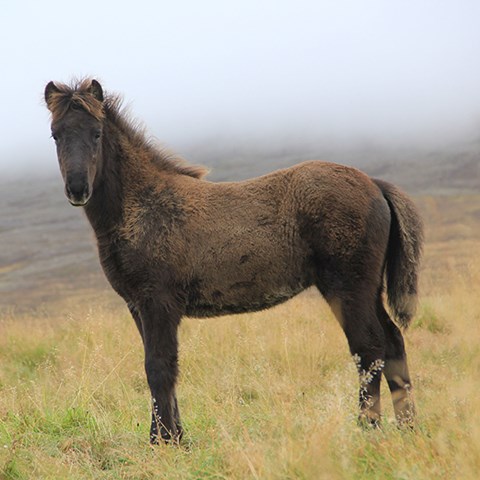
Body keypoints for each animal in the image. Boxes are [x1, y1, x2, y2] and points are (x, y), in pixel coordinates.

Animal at [43, 78, 422, 442]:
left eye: (96, 132)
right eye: (55, 134)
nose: (77, 188)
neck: (144, 203)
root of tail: (374, 184)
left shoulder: (158, 302)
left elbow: (159, 367)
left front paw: (162, 441)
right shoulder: (137, 306)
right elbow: (162, 367)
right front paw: (176, 436)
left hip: (347, 288)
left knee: (368, 348)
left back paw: (367, 427)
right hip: (369, 290)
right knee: (392, 343)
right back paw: (407, 427)